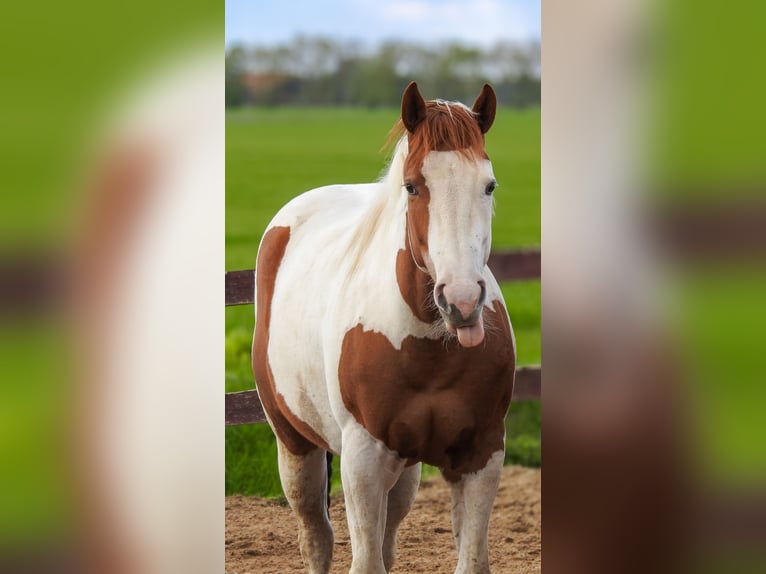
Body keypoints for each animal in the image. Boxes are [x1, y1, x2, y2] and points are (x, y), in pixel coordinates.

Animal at [252, 82, 516, 574]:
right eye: (412, 187)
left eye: (488, 185)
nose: (462, 302)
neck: (426, 348)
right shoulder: (363, 461)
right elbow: (364, 561)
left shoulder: (481, 456)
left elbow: (469, 559)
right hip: (295, 444)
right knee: (317, 538)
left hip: (405, 472)